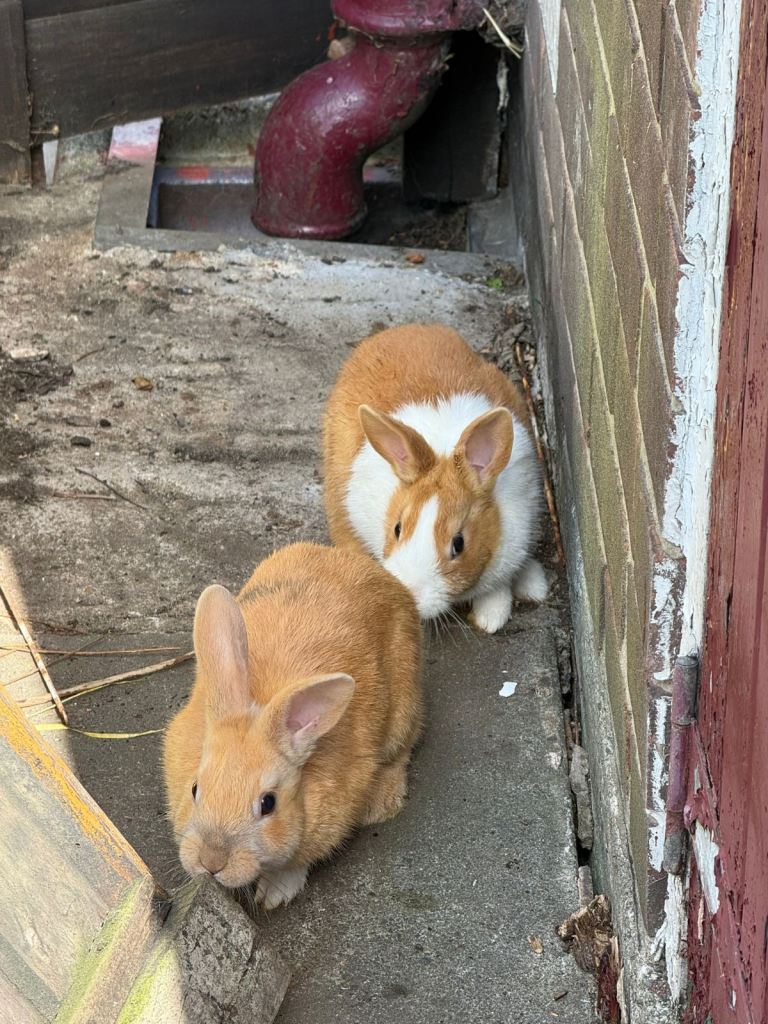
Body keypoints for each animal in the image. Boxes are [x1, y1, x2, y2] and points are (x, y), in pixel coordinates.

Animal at [163, 542, 422, 909]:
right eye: (195, 789)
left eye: (268, 803)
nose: (212, 862)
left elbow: (297, 863)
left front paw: (274, 894)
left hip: (404, 706)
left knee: (403, 748)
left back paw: (381, 805)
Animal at [323, 323, 547, 634]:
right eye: (397, 528)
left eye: (459, 544)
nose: (410, 594)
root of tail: (401, 329)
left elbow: (497, 588)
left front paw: (490, 618)